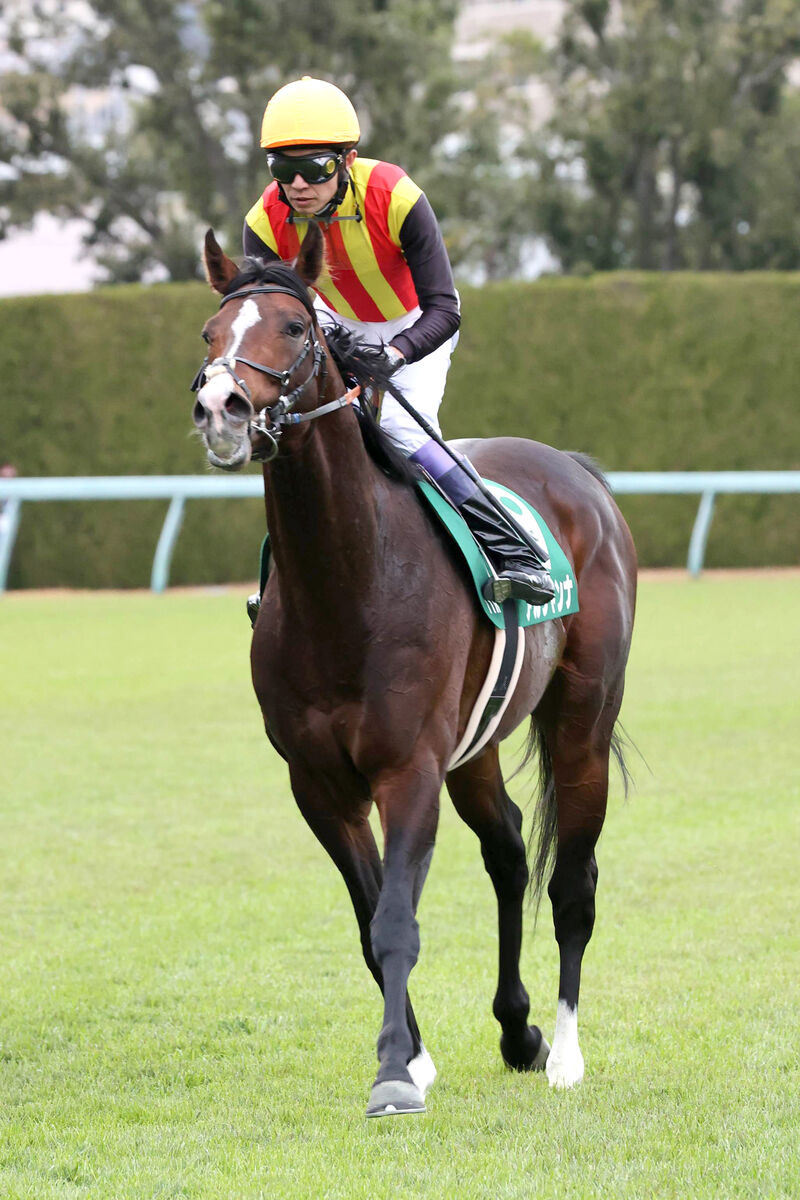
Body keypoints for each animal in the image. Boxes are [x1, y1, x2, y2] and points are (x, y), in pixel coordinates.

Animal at [189, 223, 638, 1113]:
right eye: (210, 334)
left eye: (295, 328)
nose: (222, 408)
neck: (348, 584)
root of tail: (577, 470)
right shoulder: (318, 784)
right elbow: (372, 923)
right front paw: (416, 1054)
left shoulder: (408, 767)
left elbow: (398, 918)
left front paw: (395, 1074)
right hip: (477, 743)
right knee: (507, 850)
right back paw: (519, 1031)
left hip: (582, 720)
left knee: (572, 882)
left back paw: (567, 1051)